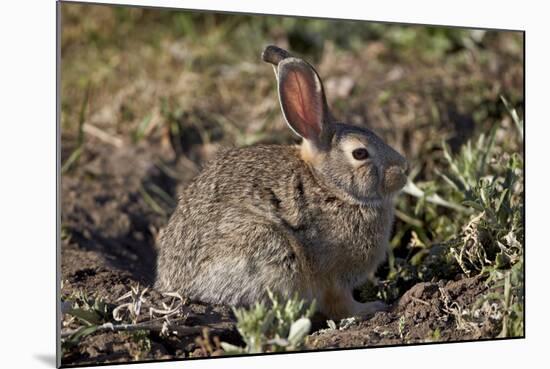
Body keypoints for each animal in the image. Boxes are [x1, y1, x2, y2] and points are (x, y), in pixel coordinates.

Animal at [155, 44, 410, 318]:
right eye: (360, 153)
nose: (404, 169)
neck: (329, 186)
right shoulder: (333, 275)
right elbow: (340, 304)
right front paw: (371, 308)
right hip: (268, 249)